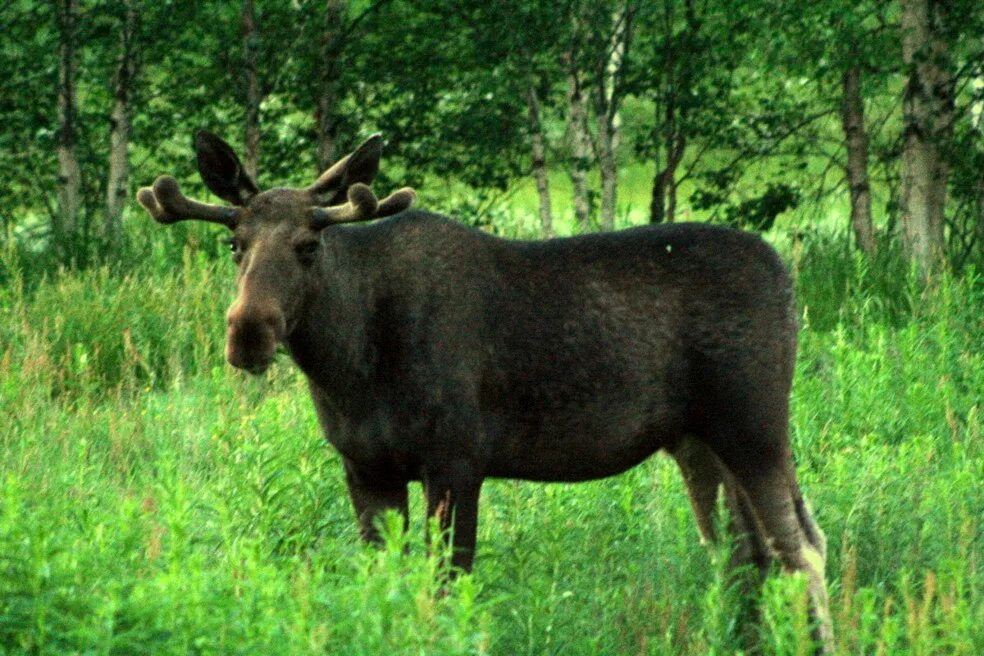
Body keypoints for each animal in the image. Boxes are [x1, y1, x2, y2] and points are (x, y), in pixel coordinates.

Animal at [136, 129, 832, 652]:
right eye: (235, 243)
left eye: (309, 245)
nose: (247, 332)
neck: (347, 366)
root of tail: (788, 277)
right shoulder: (365, 467)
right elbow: (382, 583)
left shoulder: (456, 459)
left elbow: (447, 587)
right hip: (696, 440)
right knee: (746, 556)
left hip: (753, 425)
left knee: (802, 547)